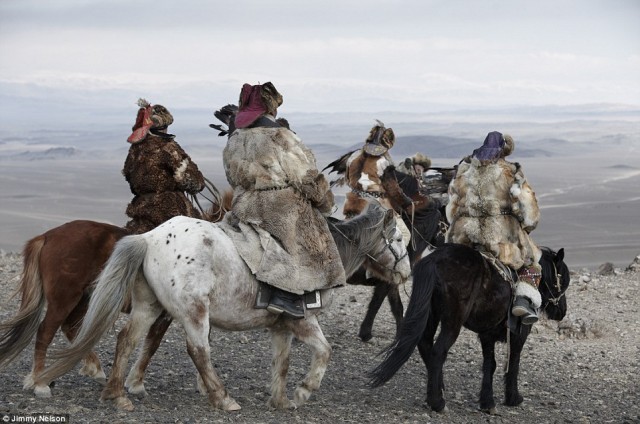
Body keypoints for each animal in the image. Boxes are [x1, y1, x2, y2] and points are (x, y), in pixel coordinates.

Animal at [40, 205, 410, 410]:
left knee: (126, 340)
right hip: (193, 311)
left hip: (148, 307)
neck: (322, 254)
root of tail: (149, 238)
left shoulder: (281, 326)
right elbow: (324, 352)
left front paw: (280, 400)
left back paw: (117, 395)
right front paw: (305, 391)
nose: (406, 273)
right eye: (400, 239)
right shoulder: (304, 321)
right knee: (198, 350)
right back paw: (222, 398)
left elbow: (282, 362)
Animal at [370, 243, 568, 412]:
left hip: (430, 314)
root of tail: (434, 260)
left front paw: (487, 402)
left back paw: (438, 391)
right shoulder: (518, 336)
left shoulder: (487, 335)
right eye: (562, 280)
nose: (562, 311)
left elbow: (490, 365)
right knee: (438, 351)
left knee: (425, 345)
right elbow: (513, 364)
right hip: (452, 322)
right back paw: (437, 402)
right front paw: (513, 398)